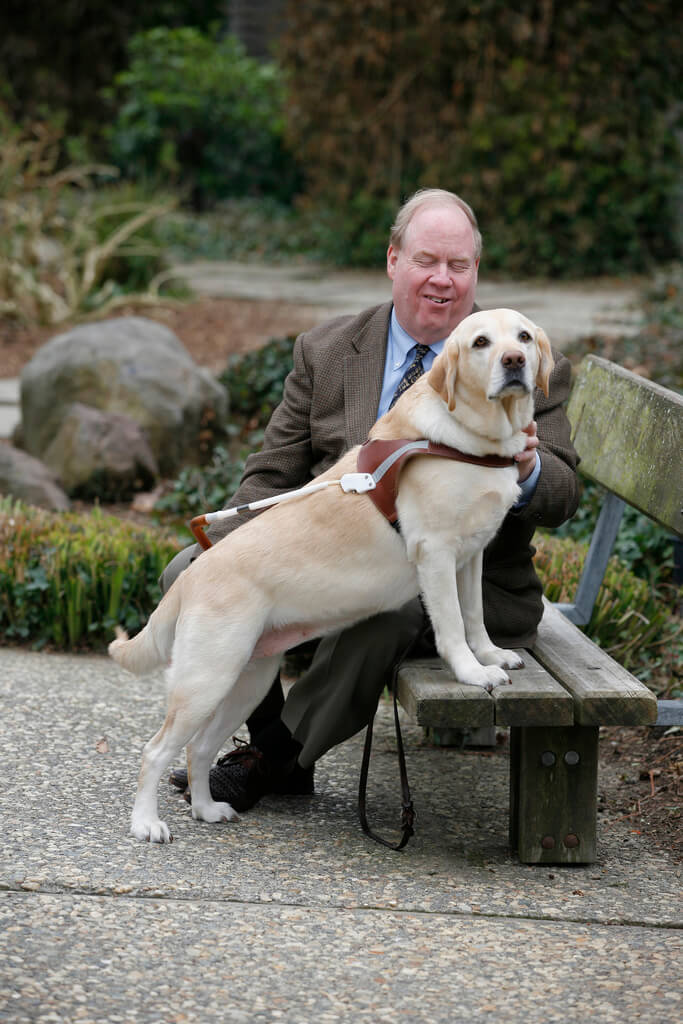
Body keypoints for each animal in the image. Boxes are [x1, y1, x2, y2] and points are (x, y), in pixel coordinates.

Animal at [109, 307, 552, 843]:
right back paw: (146, 823)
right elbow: (451, 627)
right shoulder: (436, 553)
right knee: (156, 750)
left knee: (199, 747)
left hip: (247, 678)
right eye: (481, 342)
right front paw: (470, 673)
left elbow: (474, 617)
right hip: (205, 678)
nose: (513, 361)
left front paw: (491, 655)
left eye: (523, 337)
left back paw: (207, 809)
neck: (469, 438)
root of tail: (193, 578)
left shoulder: (471, 555)